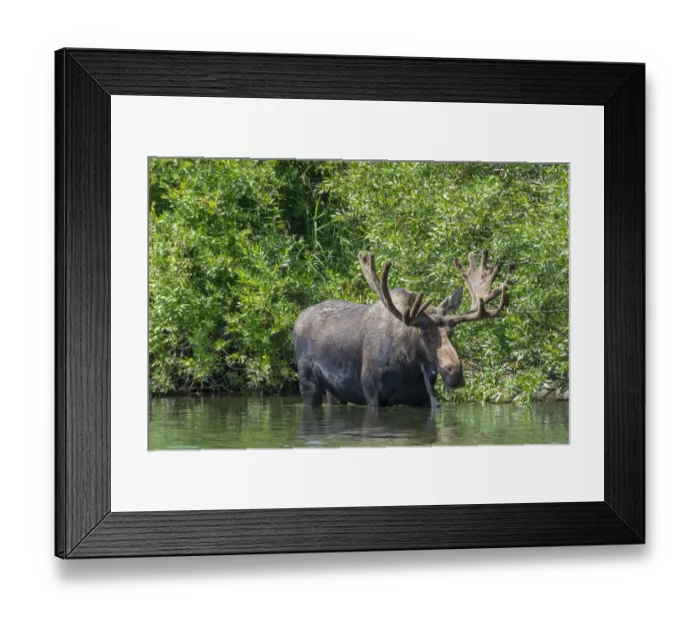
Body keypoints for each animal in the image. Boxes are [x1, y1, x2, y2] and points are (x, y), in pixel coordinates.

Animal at [293, 251, 512, 411]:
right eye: (424, 334)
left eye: (451, 333)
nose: (455, 372)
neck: (410, 365)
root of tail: (297, 320)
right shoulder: (372, 395)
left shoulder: (422, 399)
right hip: (308, 384)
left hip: (335, 392)